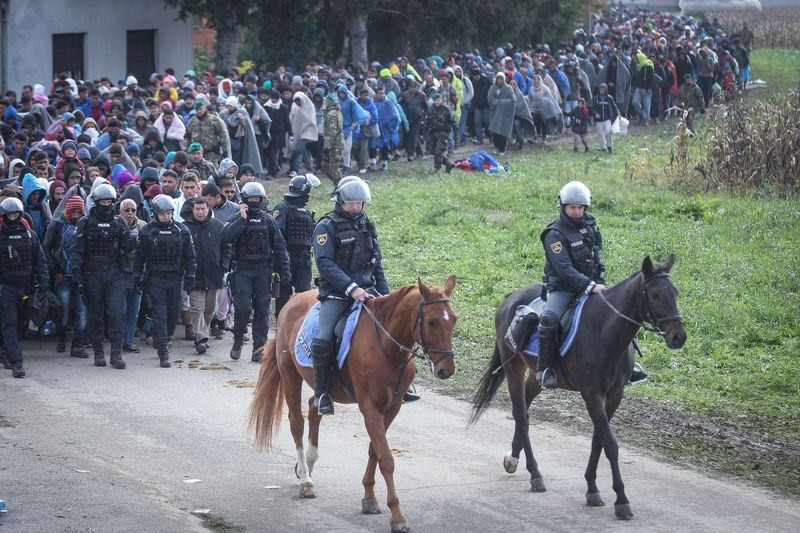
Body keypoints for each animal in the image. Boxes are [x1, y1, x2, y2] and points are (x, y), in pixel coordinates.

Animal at [247, 276, 456, 528]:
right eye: (432, 322)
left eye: (453, 319)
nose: (446, 369)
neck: (385, 345)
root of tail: (293, 299)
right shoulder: (370, 408)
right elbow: (386, 458)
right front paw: (396, 514)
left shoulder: (392, 408)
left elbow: (374, 450)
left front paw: (369, 498)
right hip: (290, 375)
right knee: (297, 422)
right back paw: (306, 480)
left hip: (323, 388)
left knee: (315, 406)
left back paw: (308, 463)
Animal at [468, 256, 688, 516]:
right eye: (654, 295)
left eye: (674, 292)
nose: (679, 337)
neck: (606, 331)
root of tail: (511, 297)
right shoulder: (591, 394)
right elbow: (610, 445)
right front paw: (621, 500)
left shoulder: (614, 395)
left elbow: (598, 441)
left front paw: (592, 488)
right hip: (513, 368)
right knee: (521, 414)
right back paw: (535, 474)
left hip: (536, 376)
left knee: (525, 409)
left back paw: (513, 458)